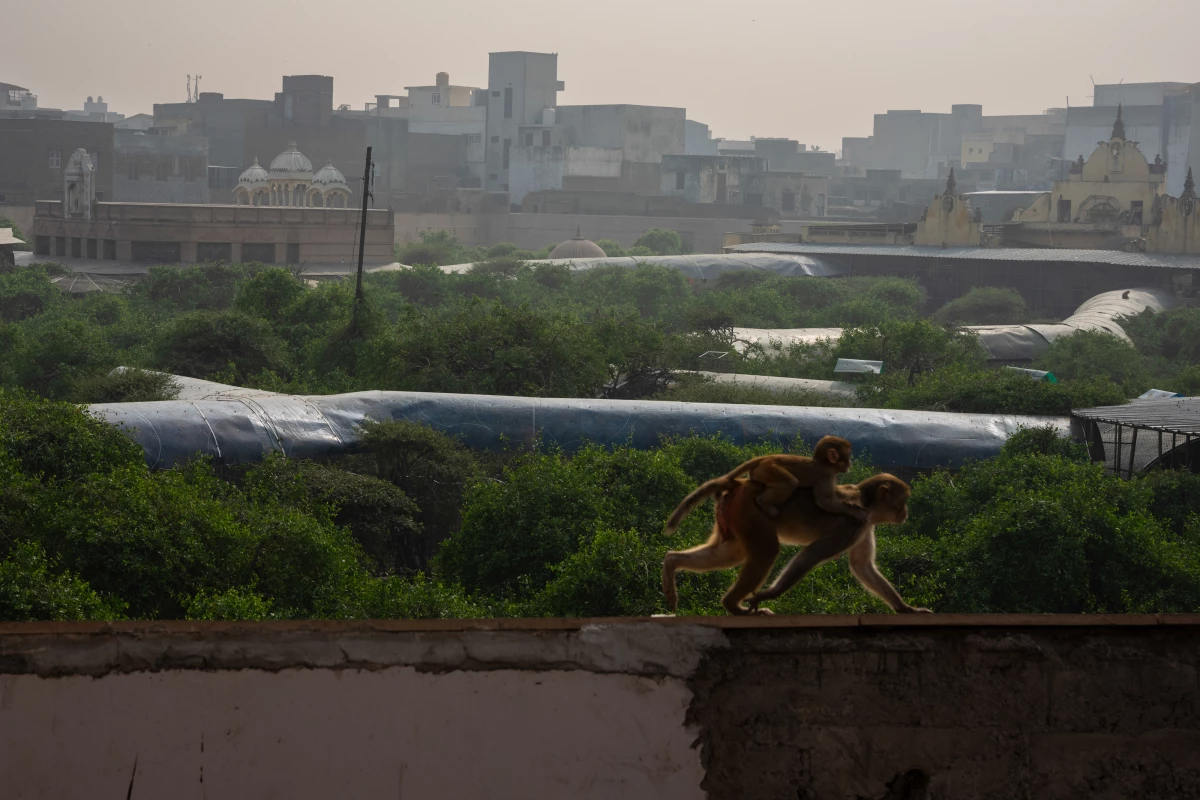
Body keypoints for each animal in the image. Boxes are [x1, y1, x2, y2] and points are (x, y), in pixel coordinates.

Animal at [661, 472, 931, 616]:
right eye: (902, 500)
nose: (905, 512)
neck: (867, 504)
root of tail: (741, 483)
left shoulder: (864, 526)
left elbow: (862, 566)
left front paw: (905, 609)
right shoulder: (851, 525)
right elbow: (811, 554)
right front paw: (770, 594)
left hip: (732, 516)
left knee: (730, 553)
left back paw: (672, 561)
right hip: (750, 511)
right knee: (766, 552)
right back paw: (733, 605)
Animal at [662, 436, 866, 543]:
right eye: (847, 457)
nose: (850, 464)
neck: (824, 464)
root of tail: (764, 458)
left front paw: (850, 490)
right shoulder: (825, 475)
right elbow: (824, 501)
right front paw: (853, 511)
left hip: (761, 471)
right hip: (769, 470)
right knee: (789, 482)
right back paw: (765, 504)